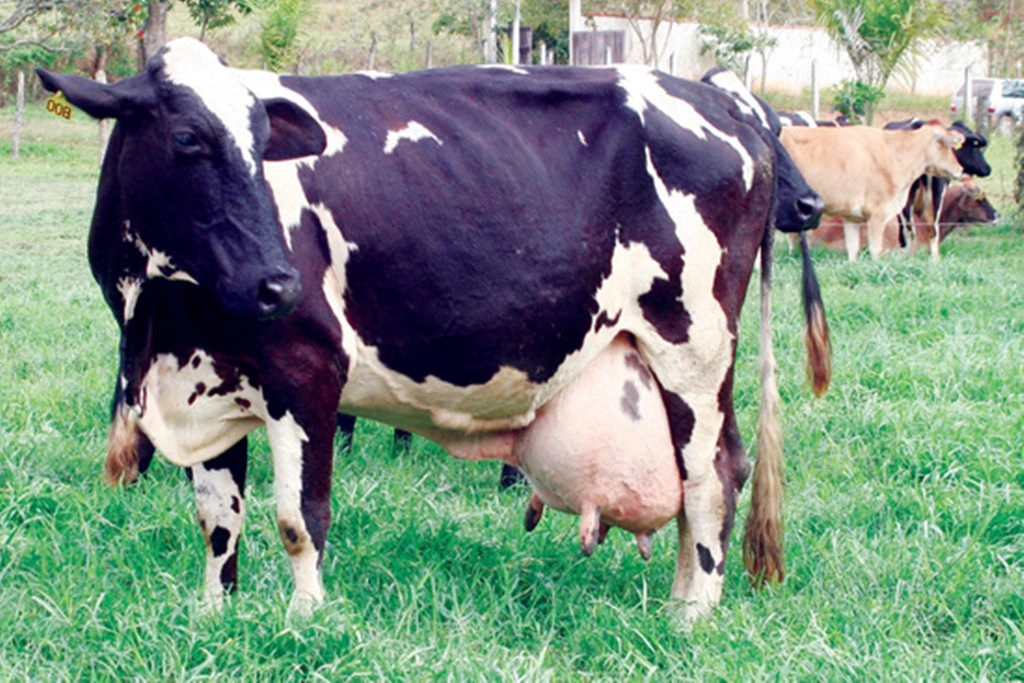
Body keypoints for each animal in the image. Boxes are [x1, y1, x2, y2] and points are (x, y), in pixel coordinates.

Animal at [38, 38, 828, 622]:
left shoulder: (306, 371)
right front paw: (215, 616)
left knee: (712, 476)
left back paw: (692, 614)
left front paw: (305, 619)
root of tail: (724, 107)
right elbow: (217, 517)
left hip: (694, 348)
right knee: (715, 475)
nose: (277, 282)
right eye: (186, 138)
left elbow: (299, 516)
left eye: (263, 144)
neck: (160, 318)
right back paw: (679, 598)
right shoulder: (204, 382)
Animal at [780, 121, 967, 261]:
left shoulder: (851, 216)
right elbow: (875, 250)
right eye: (948, 146)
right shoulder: (877, 214)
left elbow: (853, 250)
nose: (960, 168)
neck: (895, 154)